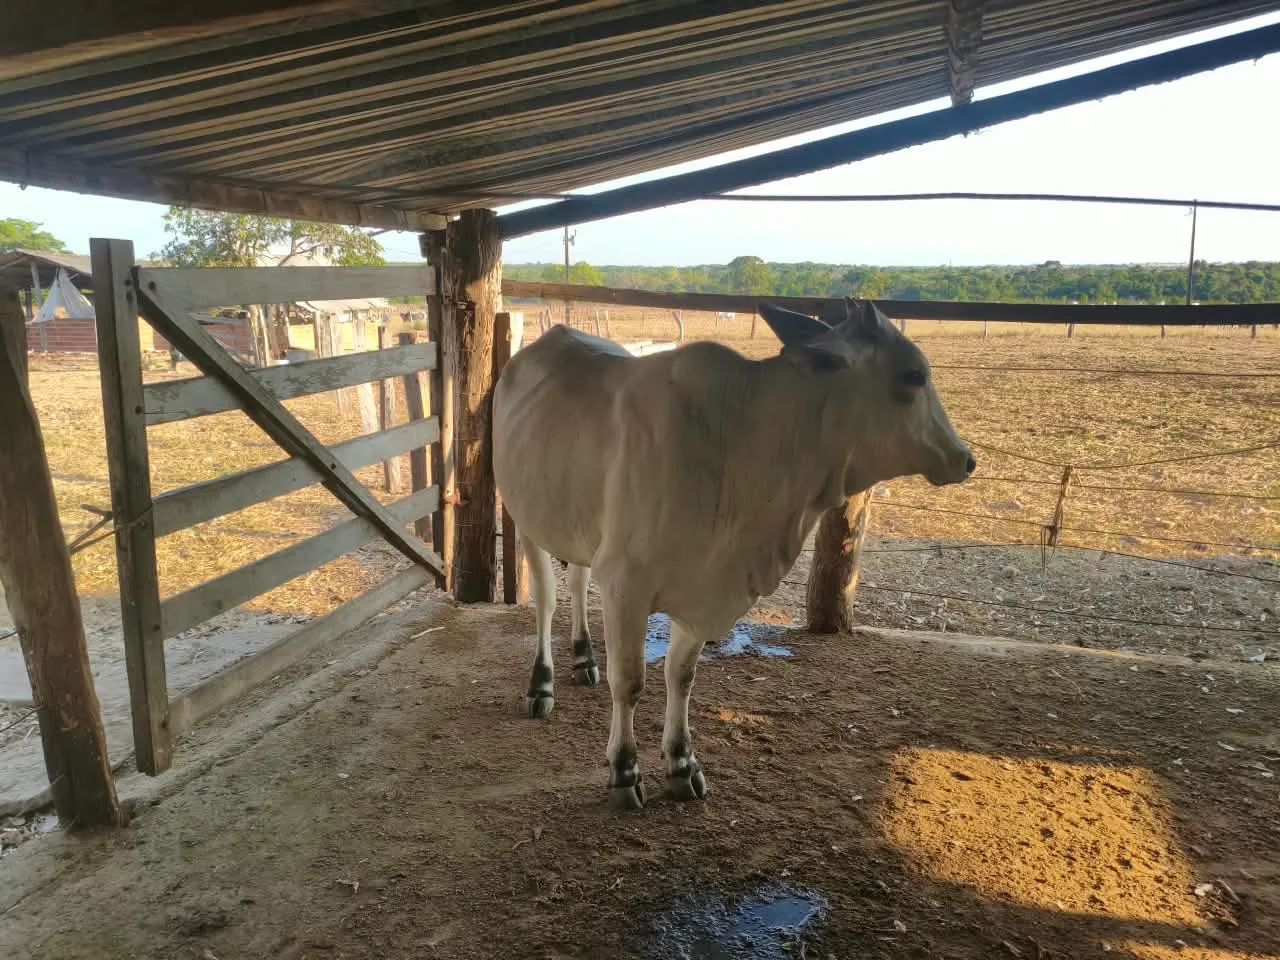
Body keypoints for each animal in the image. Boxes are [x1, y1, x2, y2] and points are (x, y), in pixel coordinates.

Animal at [492, 298, 974, 810]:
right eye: (913, 375)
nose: (965, 459)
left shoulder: (702, 583)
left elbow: (681, 676)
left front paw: (682, 764)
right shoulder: (626, 583)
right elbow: (631, 681)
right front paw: (624, 771)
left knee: (579, 581)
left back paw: (584, 659)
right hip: (526, 519)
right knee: (546, 601)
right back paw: (541, 684)